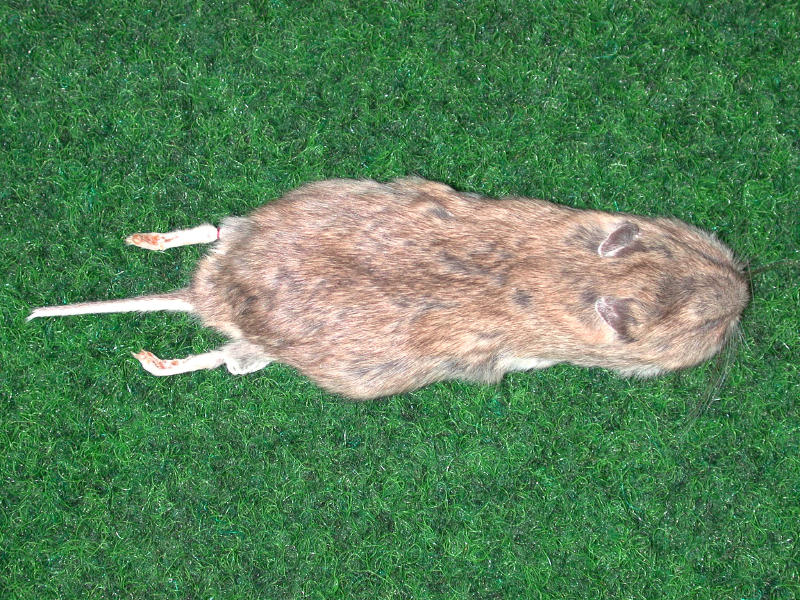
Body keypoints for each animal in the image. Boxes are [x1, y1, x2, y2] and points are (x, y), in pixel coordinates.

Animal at [28, 177, 749, 400]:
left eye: (700, 245)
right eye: (704, 327)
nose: (746, 292)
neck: (581, 276)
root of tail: (205, 292)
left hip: (253, 231)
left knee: (214, 230)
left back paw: (144, 245)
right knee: (223, 359)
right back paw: (155, 359)